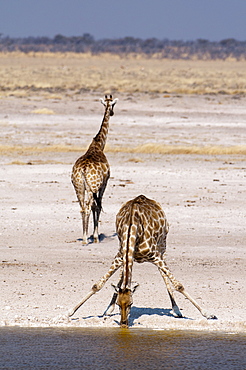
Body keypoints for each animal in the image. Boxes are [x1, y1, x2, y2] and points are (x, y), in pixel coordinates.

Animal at [68, 195, 216, 328]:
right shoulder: (120, 255)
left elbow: (179, 285)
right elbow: (98, 285)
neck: (133, 229)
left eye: (131, 304)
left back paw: (176, 310)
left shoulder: (155, 255)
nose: (123, 324)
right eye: (119, 304)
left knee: (163, 274)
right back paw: (108, 309)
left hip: (162, 245)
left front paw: (208, 314)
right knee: (123, 275)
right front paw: (70, 312)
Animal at [71, 94, 117, 244]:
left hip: (79, 187)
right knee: (88, 206)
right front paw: (96, 236)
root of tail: (83, 170)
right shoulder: (104, 183)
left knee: (82, 207)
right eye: (113, 104)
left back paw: (84, 236)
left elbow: (94, 206)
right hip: (91, 187)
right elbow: (98, 206)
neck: (98, 145)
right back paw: (86, 239)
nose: (112, 112)